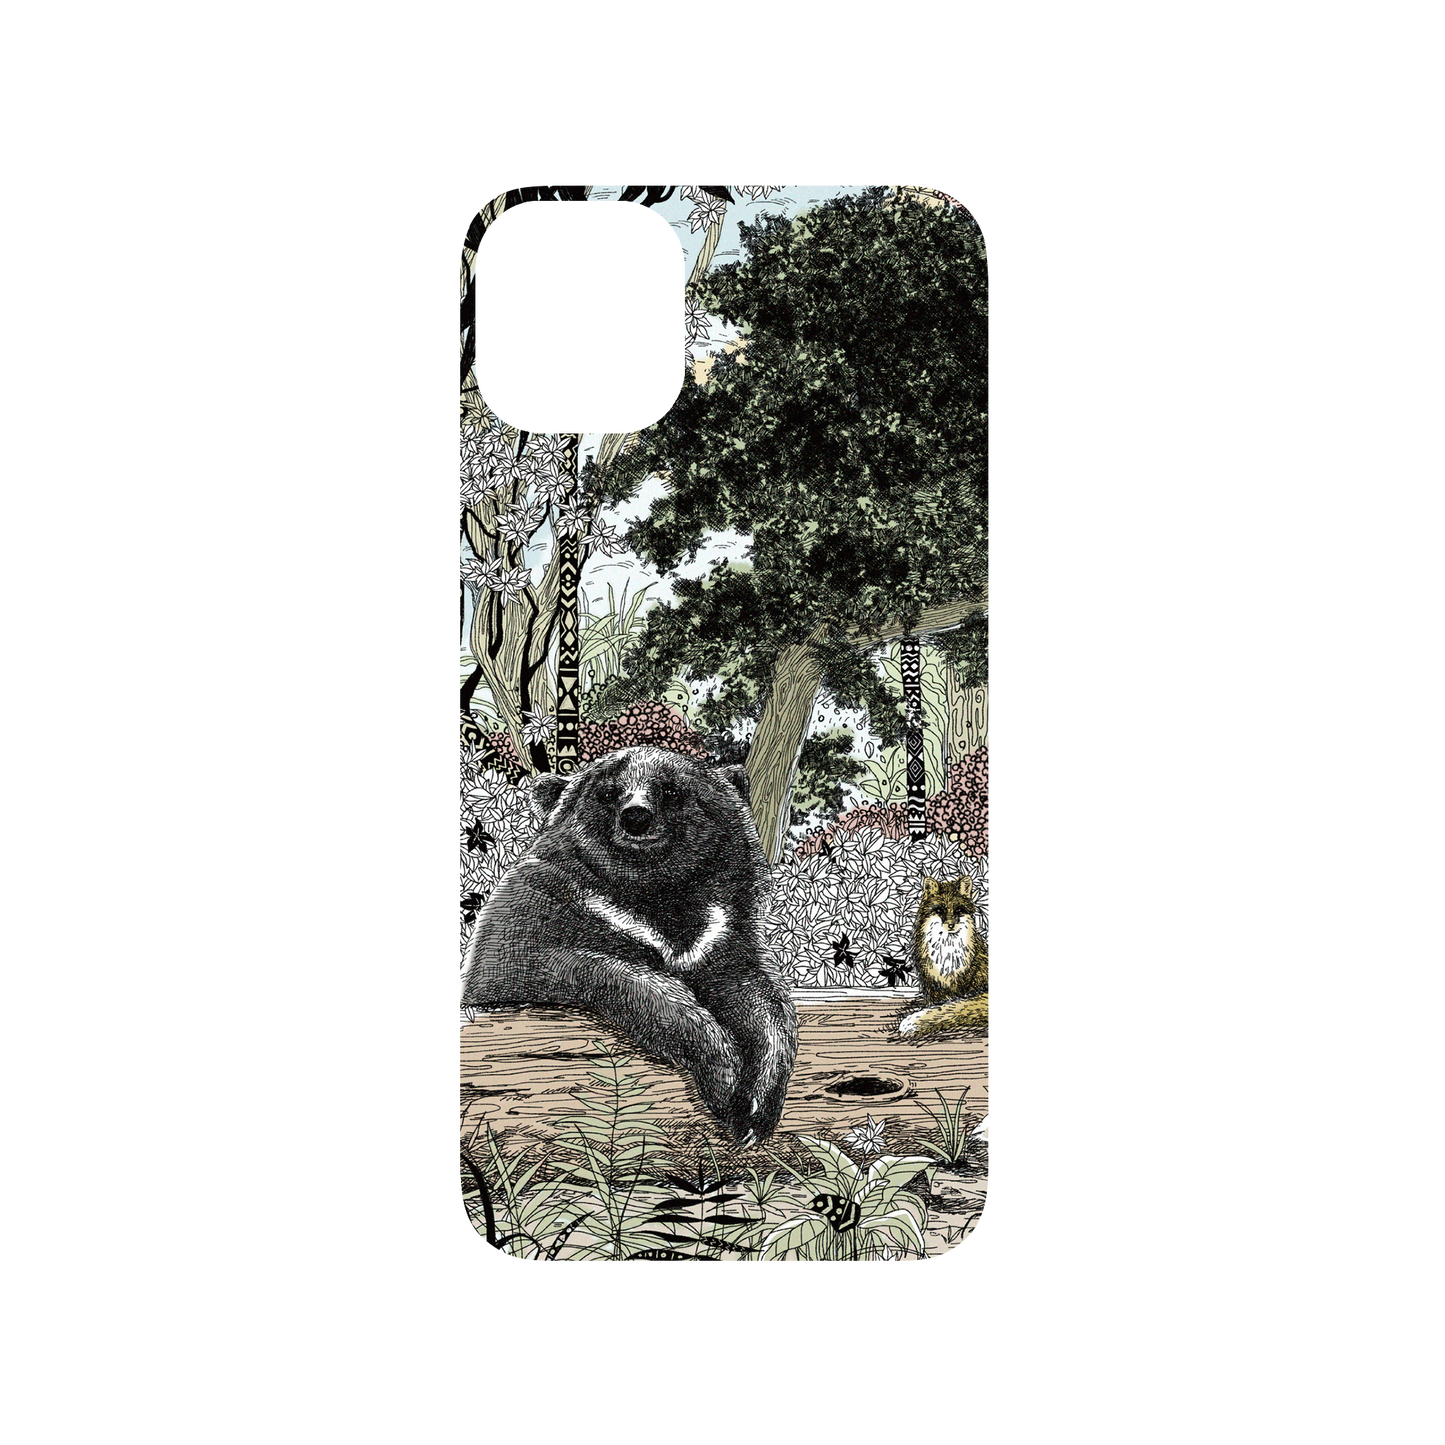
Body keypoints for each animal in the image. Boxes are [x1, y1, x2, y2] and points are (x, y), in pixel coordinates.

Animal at [459, 746, 798, 1145]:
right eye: (608, 792)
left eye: (671, 790)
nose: (636, 816)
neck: (655, 892)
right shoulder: (546, 913)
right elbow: (605, 974)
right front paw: (724, 1074)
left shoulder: (722, 931)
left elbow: (759, 998)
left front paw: (754, 1109)